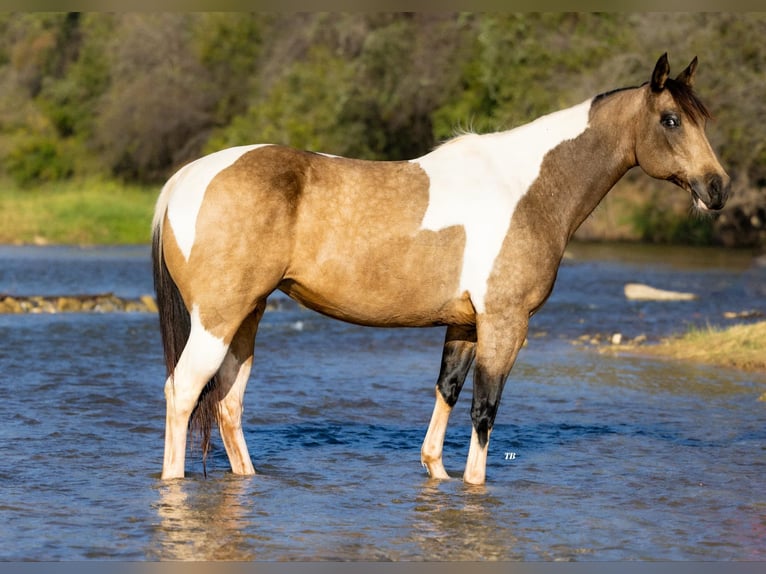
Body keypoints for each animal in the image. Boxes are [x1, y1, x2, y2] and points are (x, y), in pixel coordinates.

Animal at [152, 53, 730, 484]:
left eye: (703, 120)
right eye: (671, 120)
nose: (718, 188)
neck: (527, 190)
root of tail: (185, 179)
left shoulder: (465, 324)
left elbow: (447, 392)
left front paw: (437, 472)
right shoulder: (504, 323)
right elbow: (484, 409)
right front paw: (474, 487)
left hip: (246, 318)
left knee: (227, 403)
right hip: (218, 320)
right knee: (183, 392)